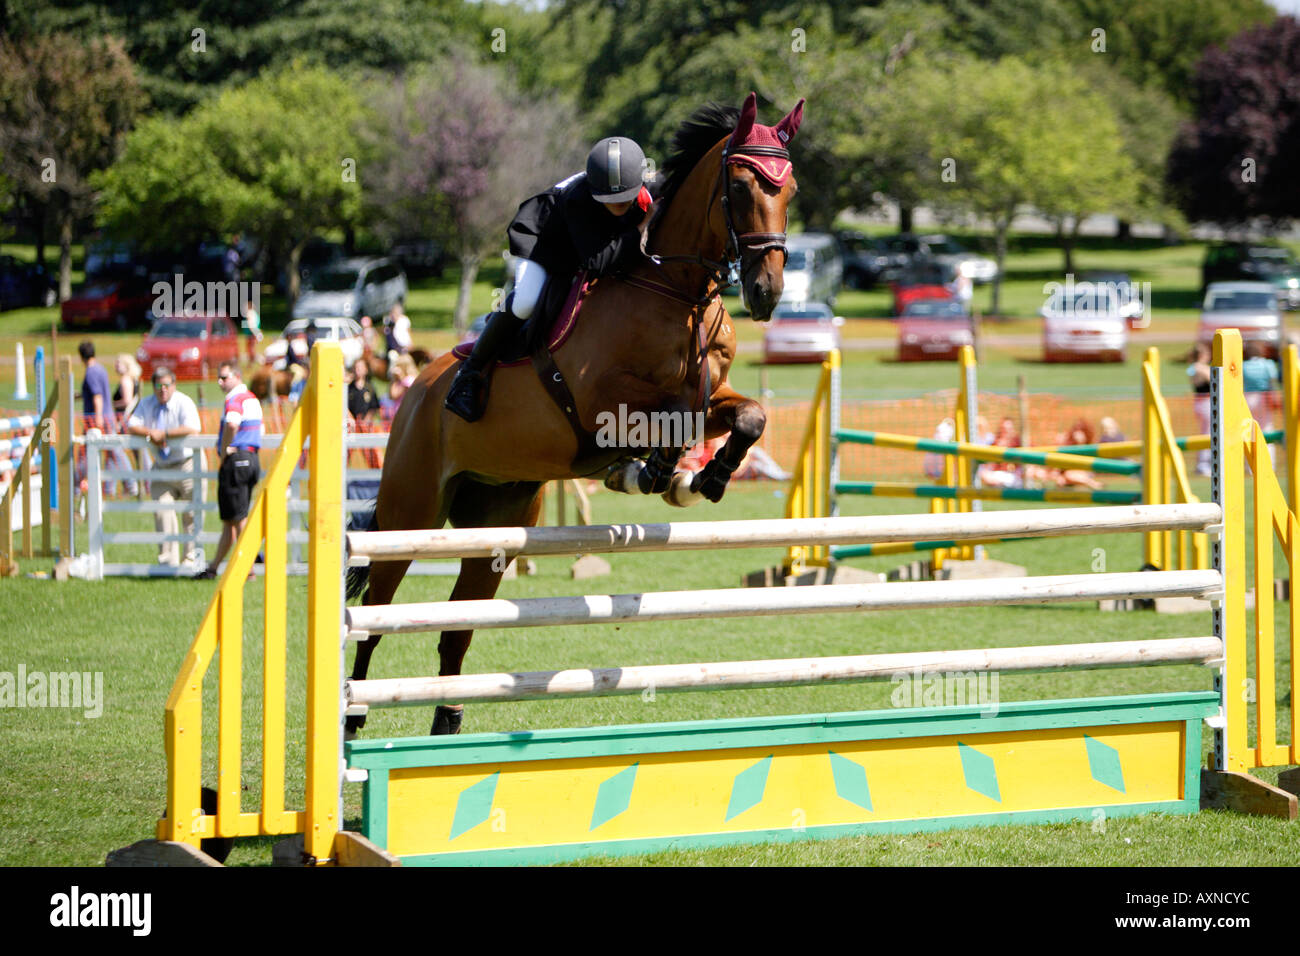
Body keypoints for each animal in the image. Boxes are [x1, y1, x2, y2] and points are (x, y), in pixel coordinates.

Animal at [351, 93, 806, 738]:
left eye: (789, 188)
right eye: (741, 186)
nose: (767, 294)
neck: (675, 289)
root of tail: (416, 392)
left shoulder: (713, 391)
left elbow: (747, 417)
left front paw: (706, 476)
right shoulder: (602, 404)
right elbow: (674, 414)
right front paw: (653, 472)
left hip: (497, 522)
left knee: (456, 629)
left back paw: (447, 725)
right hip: (409, 512)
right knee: (375, 612)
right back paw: (354, 715)